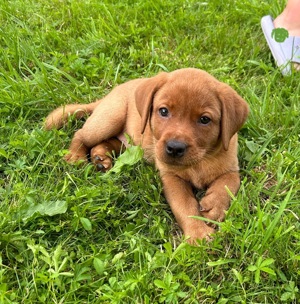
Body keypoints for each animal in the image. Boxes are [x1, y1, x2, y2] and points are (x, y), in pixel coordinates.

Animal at [45, 67, 250, 243]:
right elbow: (184, 205)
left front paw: (214, 206)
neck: (200, 160)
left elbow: (229, 183)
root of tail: (108, 96)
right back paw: (75, 156)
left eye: (205, 119)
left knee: (107, 143)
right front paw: (198, 233)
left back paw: (101, 158)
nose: (174, 148)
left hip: (126, 140)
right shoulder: (171, 177)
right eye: (164, 111)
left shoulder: (232, 166)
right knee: (81, 134)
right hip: (109, 118)